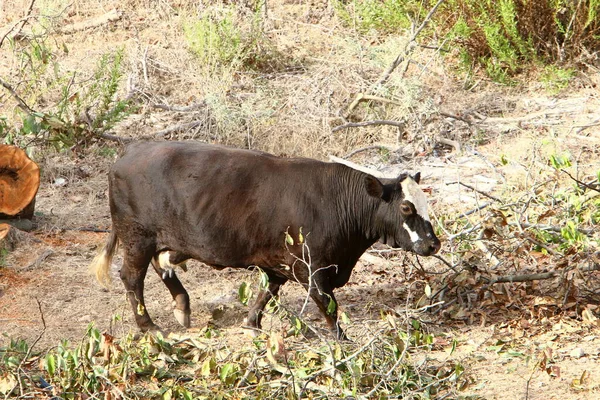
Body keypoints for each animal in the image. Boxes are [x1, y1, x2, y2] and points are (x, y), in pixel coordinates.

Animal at [94, 141, 440, 338]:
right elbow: (328, 305)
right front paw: (342, 341)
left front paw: (251, 324)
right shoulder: (311, 268)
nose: (432, 244)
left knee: (162, 262)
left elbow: (267, 291)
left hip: (165, 239)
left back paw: (182, 306)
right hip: (137, 237)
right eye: (406, 207)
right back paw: (148, 326)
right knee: (132, 277)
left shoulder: (279, 262)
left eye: (425, 203)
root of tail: (129, 152)